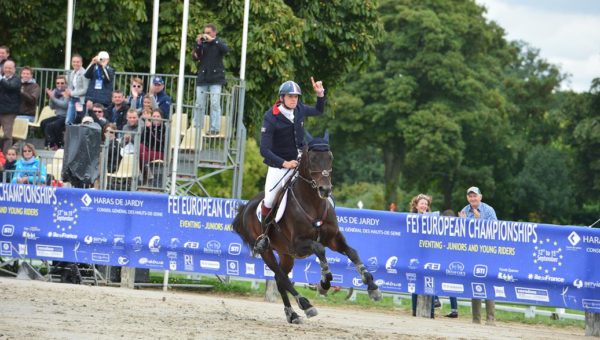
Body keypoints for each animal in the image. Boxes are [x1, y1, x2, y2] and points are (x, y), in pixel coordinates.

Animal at [232, 133, 382, 324]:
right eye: (312, 159)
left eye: (330, 157)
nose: (325, 189)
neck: (313, 203)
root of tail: (245, 207)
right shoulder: (299, 244)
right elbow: (319, 249)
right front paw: (325, 283)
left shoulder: (333, 239)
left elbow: (352, 253)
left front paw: (372, 286)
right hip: (267, 251)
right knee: (281, 276)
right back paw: (306, 305)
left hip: (286, 254)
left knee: (279, 279)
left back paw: (292, 314)